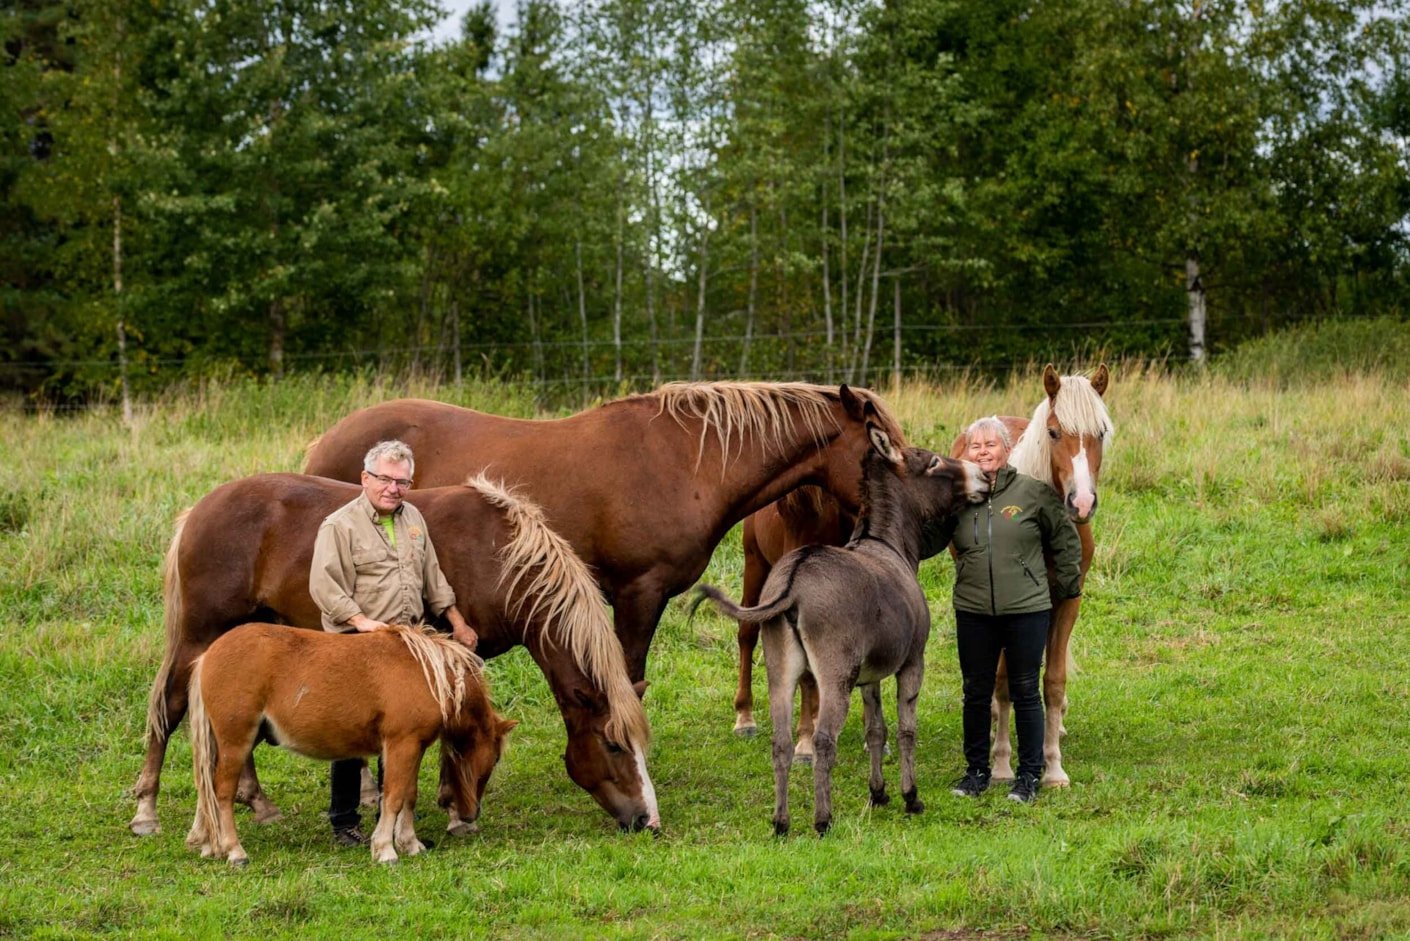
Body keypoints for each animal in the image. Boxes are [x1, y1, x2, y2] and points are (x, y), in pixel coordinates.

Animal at [126, 479, 654, 840]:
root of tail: (199, 510)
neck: (498, 557)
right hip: (199, 636)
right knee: (170, 709)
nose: (647, 819)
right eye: (612, 745)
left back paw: (258, 803)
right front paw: (453, 809)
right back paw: (146, 810)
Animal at [184, 626, 518, 869]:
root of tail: (208, 655)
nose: (471, 816)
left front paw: (410, 844)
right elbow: (394, 797)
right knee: (222, 792)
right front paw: (385, 849)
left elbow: (408, 796)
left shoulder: (415, 747)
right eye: (493, 760)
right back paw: (234, 851)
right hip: (236, 741)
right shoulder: (401, 744)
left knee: (207, 790)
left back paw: (210, 845)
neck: (425, 673)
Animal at [690, 423, 981, 835]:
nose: (984, 475)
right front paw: (910, 797)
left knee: (780, 742)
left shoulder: (870, 676)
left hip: (781, 671)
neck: (886, 543)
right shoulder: (912, 663)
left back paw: (781, 822)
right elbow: (906, 730)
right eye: (934, 463)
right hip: (834, 676)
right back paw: (822, 819)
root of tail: (793, 582)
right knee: (824, 740)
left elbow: (876, 731)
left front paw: (878, 793)